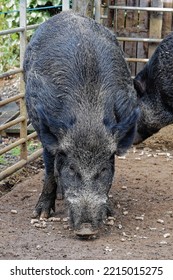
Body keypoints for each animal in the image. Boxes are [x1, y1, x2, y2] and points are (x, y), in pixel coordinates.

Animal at [24, 10, 138, 236]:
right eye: (72, 168)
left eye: (103, 170)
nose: (86, 230)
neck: (88, 118)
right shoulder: (46, 133)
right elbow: (50, 171)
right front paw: (40, 215)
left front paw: (110, 213)